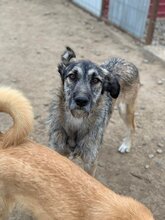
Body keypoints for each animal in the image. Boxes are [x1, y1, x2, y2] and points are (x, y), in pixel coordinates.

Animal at [48, 46, 139, 175]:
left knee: (132, 127)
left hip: (125, 109)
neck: (77, 120)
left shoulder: (90, 163)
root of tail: (126, 61)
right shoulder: (57, 153)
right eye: (72, 76)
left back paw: (126, 145)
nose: (81, 101)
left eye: (96, 80)